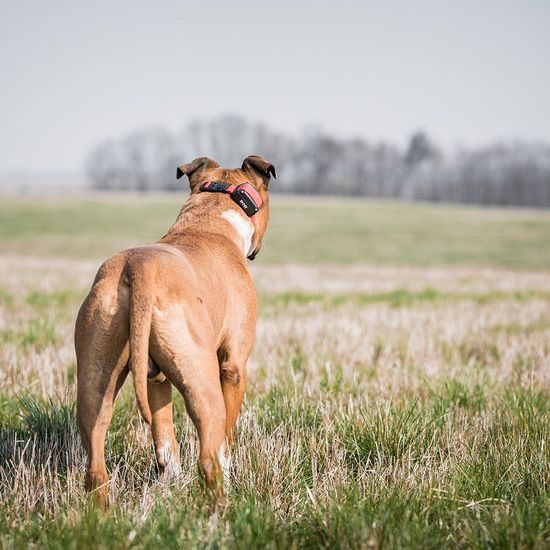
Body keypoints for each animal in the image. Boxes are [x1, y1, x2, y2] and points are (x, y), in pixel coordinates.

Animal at [74, 155, 276, 508]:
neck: (211, 219)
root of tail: (138, 268)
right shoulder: (233, 367)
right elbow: (227, 436)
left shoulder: (156, 379)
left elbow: (165, 438)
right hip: (203, 382)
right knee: (209, 457)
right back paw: (223, 512)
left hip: (95, 381)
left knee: (96, 466)